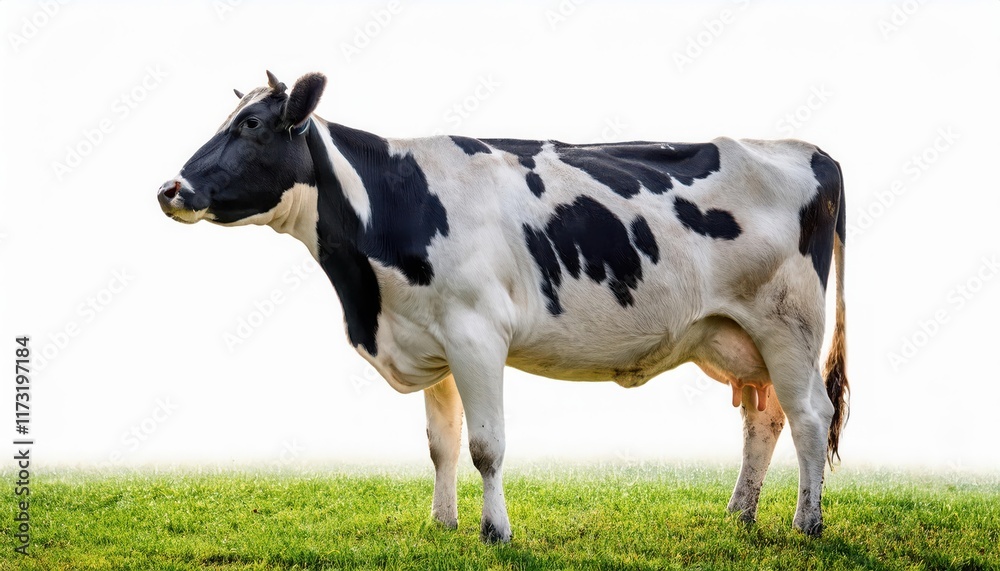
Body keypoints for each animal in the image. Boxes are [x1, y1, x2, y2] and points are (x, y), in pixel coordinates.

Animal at [157, 71, 848, 542]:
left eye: (251, 125)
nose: (170, 188)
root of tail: (809, 150)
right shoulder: (431, 337)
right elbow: (440, 444)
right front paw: (443, 524)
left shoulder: (476, 335)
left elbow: (486, 446)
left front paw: (496, 533)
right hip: (735, 334)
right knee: (764, 418)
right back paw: (740, 514)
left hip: (788, 324)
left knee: (811, 415)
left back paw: (806, 524)